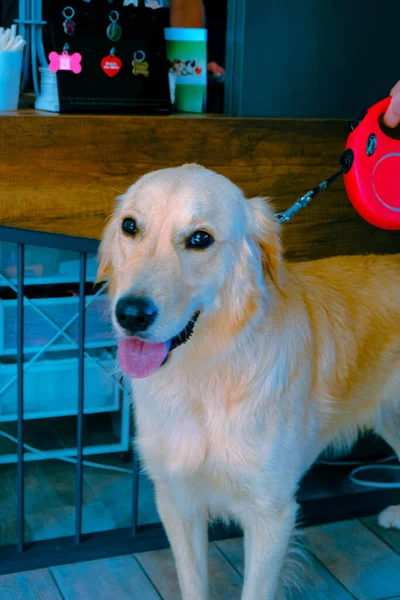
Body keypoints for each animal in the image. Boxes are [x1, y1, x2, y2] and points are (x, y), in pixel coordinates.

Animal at [98, 164, 400, 600]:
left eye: (200, 239)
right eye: (130, 226)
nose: (131, 314)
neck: (205, 375)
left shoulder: (271, 515)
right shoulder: (177, 499)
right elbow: (193, 583)